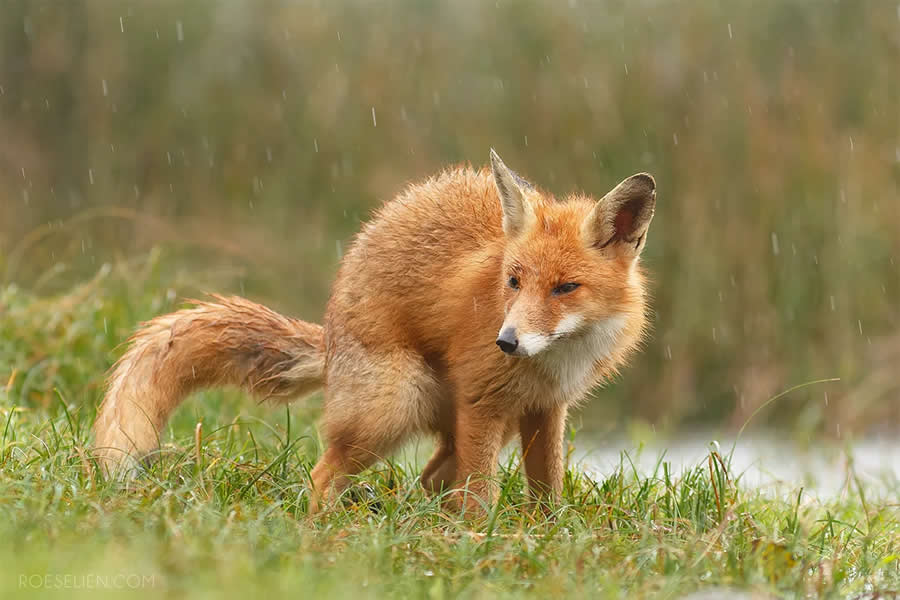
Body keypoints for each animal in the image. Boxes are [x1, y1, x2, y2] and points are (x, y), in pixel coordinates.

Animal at [93, 149, 656, 513]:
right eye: (514, 281)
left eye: (565, 288)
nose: (507, 342)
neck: (555, 360)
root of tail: (329, 337)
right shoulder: (484, 400)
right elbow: (480, 496)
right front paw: (480, 541)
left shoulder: (546, 408)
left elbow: (547, 491)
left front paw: (542, 535)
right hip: (395, 404)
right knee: (324, 474)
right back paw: (326, 533)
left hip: (470, 422)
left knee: (430, 478)